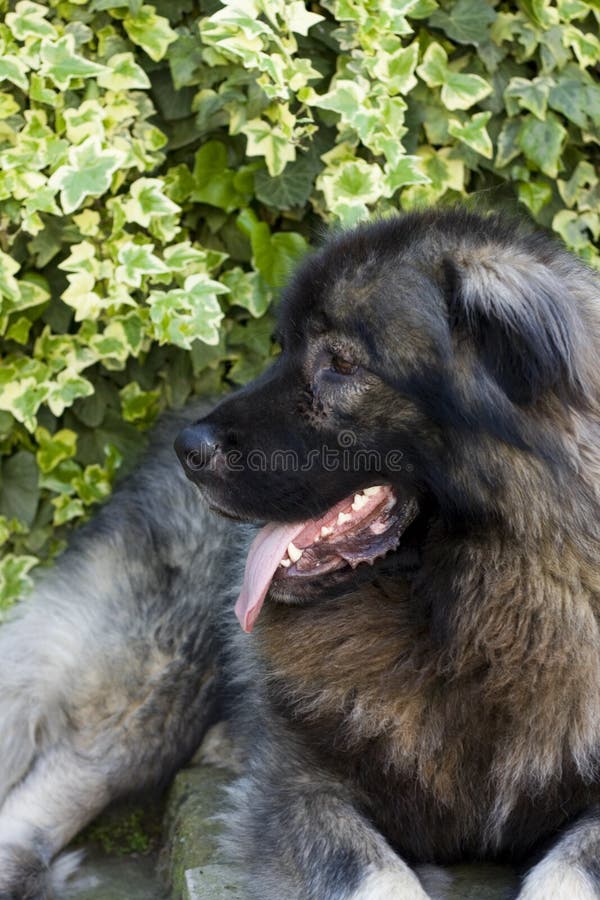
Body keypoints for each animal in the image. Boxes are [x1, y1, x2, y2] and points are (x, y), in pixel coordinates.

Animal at [1, 207, 600, 896]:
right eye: (283, 347)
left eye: (340, 362)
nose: (190, 450)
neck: (466, 615)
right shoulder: (300, 787)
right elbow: (377, 876)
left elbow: (568, 871)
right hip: (156, 677)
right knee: (59, 777)